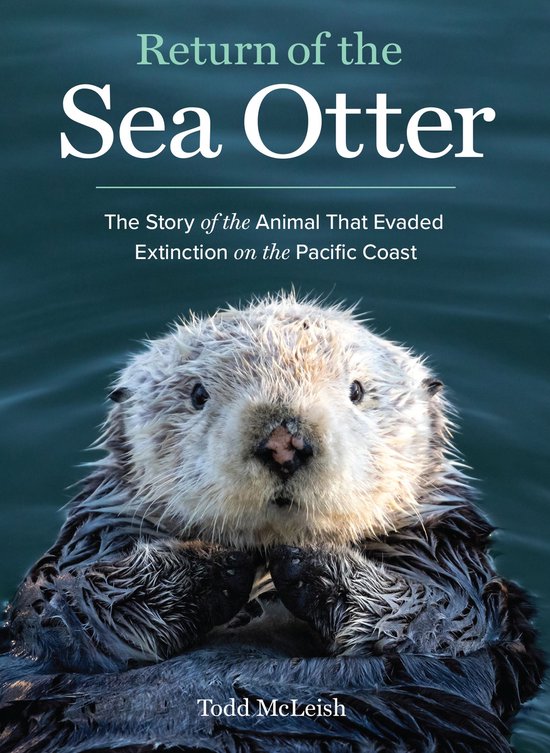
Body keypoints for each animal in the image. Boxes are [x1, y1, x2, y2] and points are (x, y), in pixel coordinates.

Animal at [0, 293, 543, 753]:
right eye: (197, 394)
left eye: (357, 390)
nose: (285, 442)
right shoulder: (83, 555)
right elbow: (69, 607)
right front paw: (216, 561)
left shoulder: (459, 576)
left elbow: (433, 618)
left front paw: (306, 558)